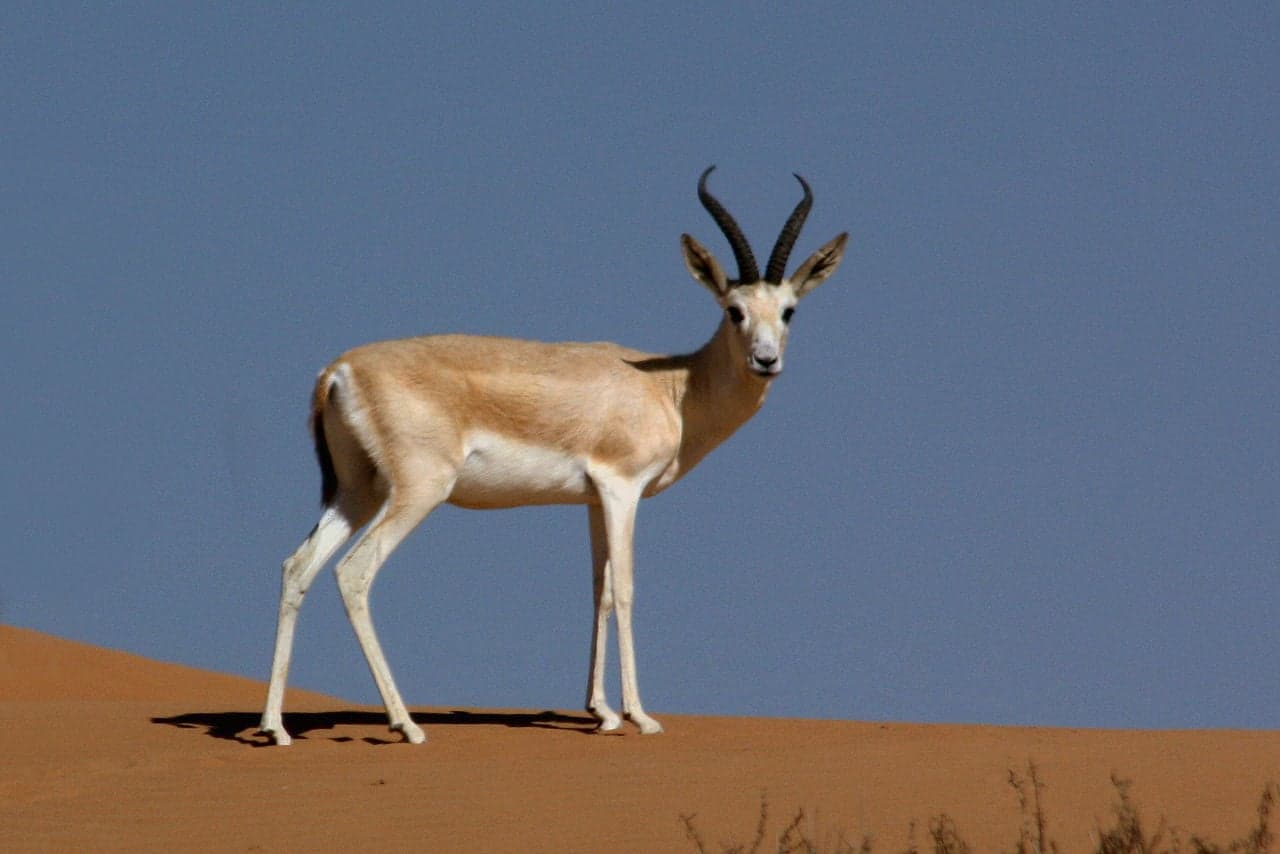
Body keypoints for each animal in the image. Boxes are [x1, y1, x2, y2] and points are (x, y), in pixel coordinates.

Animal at [259, 167, 848, 745]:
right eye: (734, 310)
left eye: (789, 311)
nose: (765, 360)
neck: (673, 387)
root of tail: (339, 369)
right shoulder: (622, 488)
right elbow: (626, 589)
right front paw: (639, 716)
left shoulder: (592, 500)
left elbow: (599, 592)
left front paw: (601, 712)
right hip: (417, 491)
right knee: (354, 572)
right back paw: (405, 723)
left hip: (356, 491)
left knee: (298, 566)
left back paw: (275, 726)